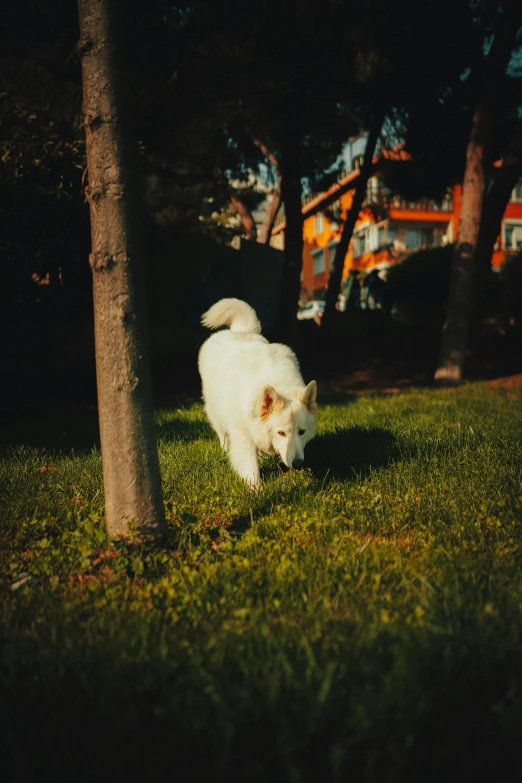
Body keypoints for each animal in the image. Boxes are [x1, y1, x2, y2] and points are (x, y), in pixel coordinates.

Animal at [197, 298, 314, 486]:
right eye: (281, 433)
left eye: (301, 432)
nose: (297, 464)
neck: (276, 383)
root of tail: (241, 330)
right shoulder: (242, 434)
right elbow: (250, 466)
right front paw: (256, 490)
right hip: (217, 412)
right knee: (222, 434)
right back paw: (225, 449)